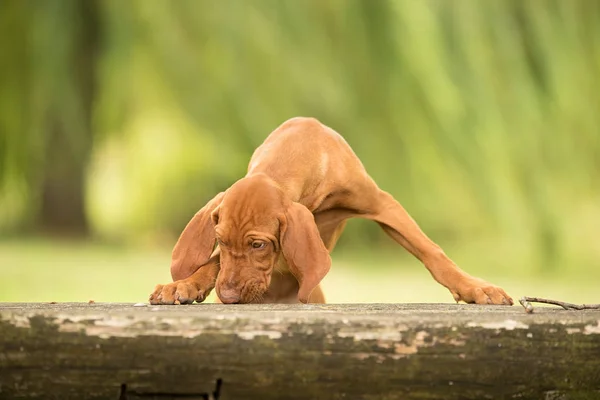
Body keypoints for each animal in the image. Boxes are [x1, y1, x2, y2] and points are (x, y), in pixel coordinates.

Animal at [149, 117, 510, 304]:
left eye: (258, 245)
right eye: (221, 240)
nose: (226, 296)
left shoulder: (382, 203)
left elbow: (431, 251)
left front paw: (474, 288)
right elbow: (213, 263)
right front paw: (184, 285)